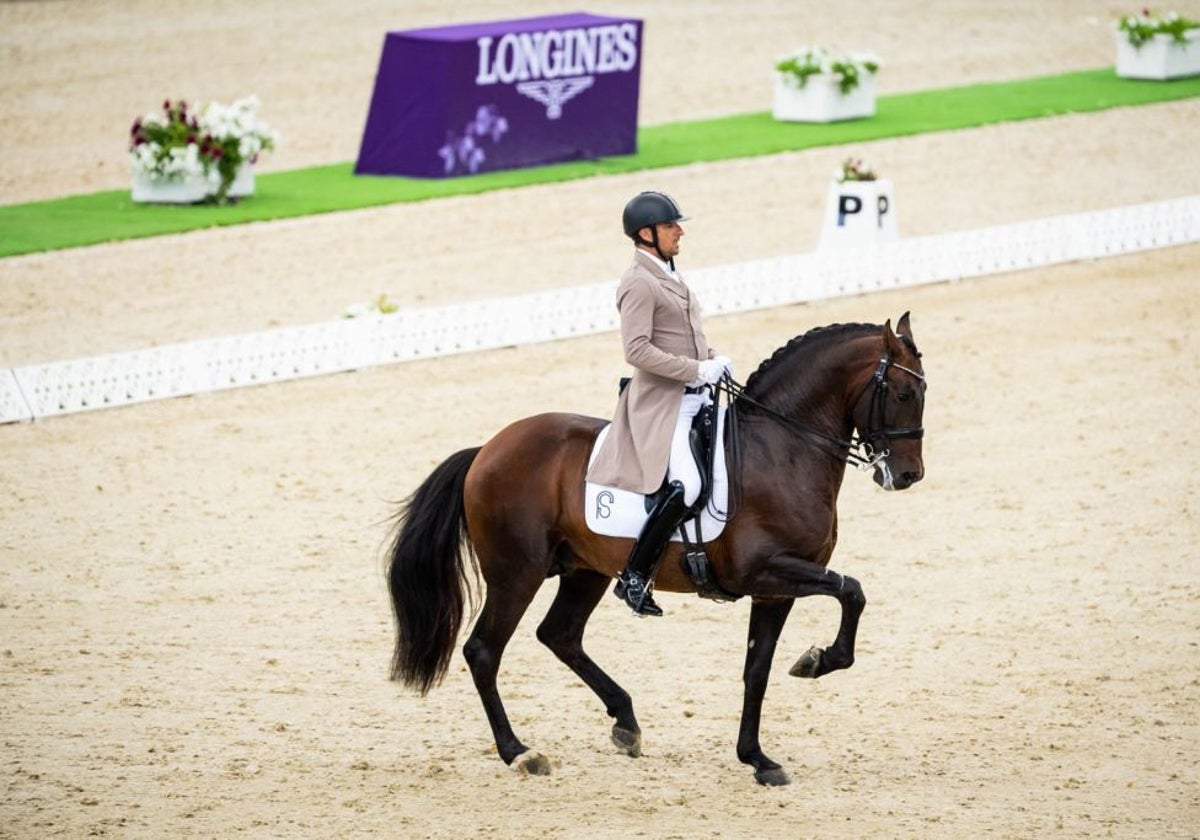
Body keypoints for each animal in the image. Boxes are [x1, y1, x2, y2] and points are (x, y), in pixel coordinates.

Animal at [384, 312, 926, 782]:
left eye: (922, 391)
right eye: (902, 392)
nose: (907, 476)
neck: (783, 448)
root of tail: (487, 451)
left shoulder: (776, 589)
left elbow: (758, 669)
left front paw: (758, 758)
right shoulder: (766, 571)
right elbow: (853, 590)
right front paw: (818, 660)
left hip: (585, 570)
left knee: (560, 635)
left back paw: (625, 722)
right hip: (517, 574)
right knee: (484, 650)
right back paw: (520, 752)